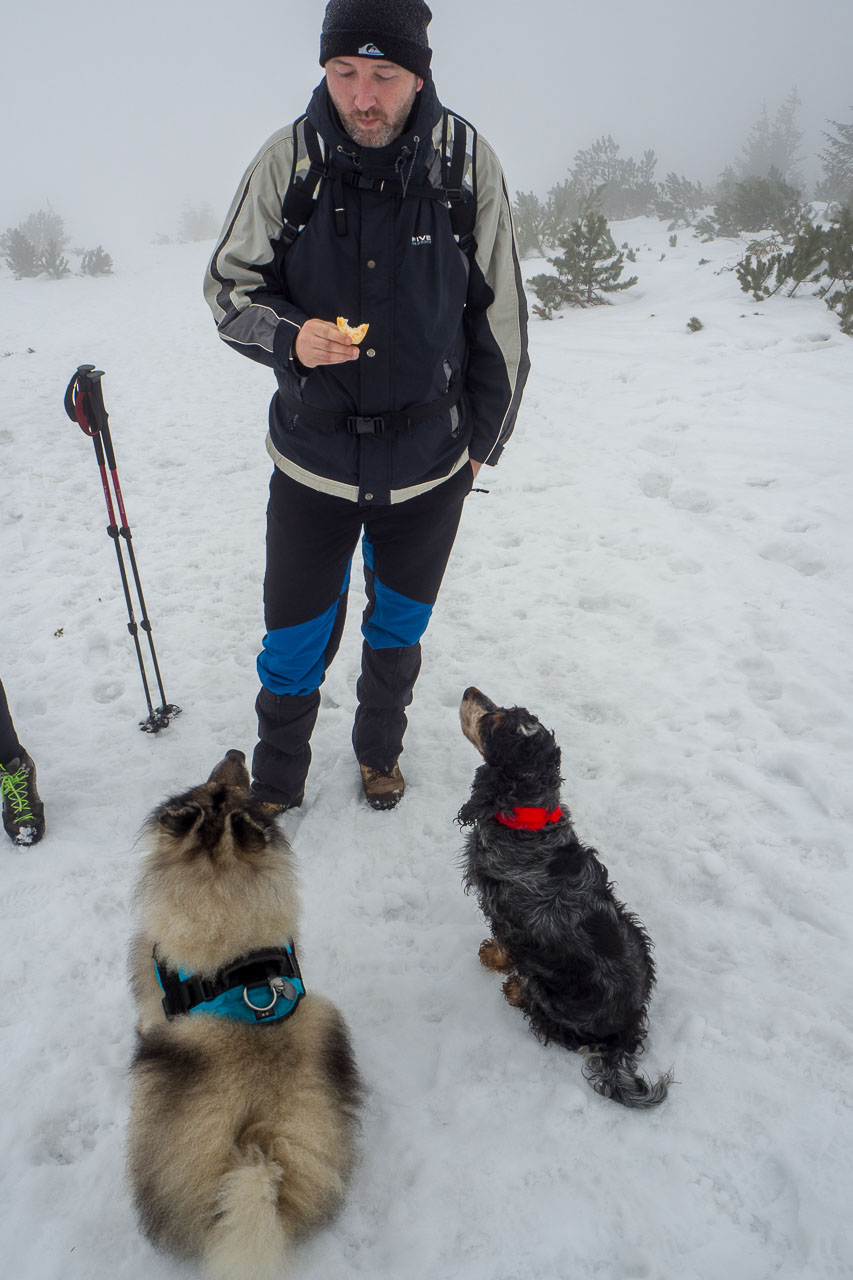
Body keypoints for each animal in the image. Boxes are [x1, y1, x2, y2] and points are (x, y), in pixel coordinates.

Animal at [128, 747, 361, 1280]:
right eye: (218, 786)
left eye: (232, 790)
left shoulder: (152, 990)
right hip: (327, 1020)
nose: (236, 753)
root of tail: (259, 1153)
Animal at [458, 686, 671, 1105]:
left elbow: (504, 946)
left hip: (551, 988)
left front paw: (493, 959)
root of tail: (622, 1033)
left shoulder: (505, 916)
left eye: (493, 721)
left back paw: (516, 990)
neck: (528, 823)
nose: (470, 690)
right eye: (505, 710)